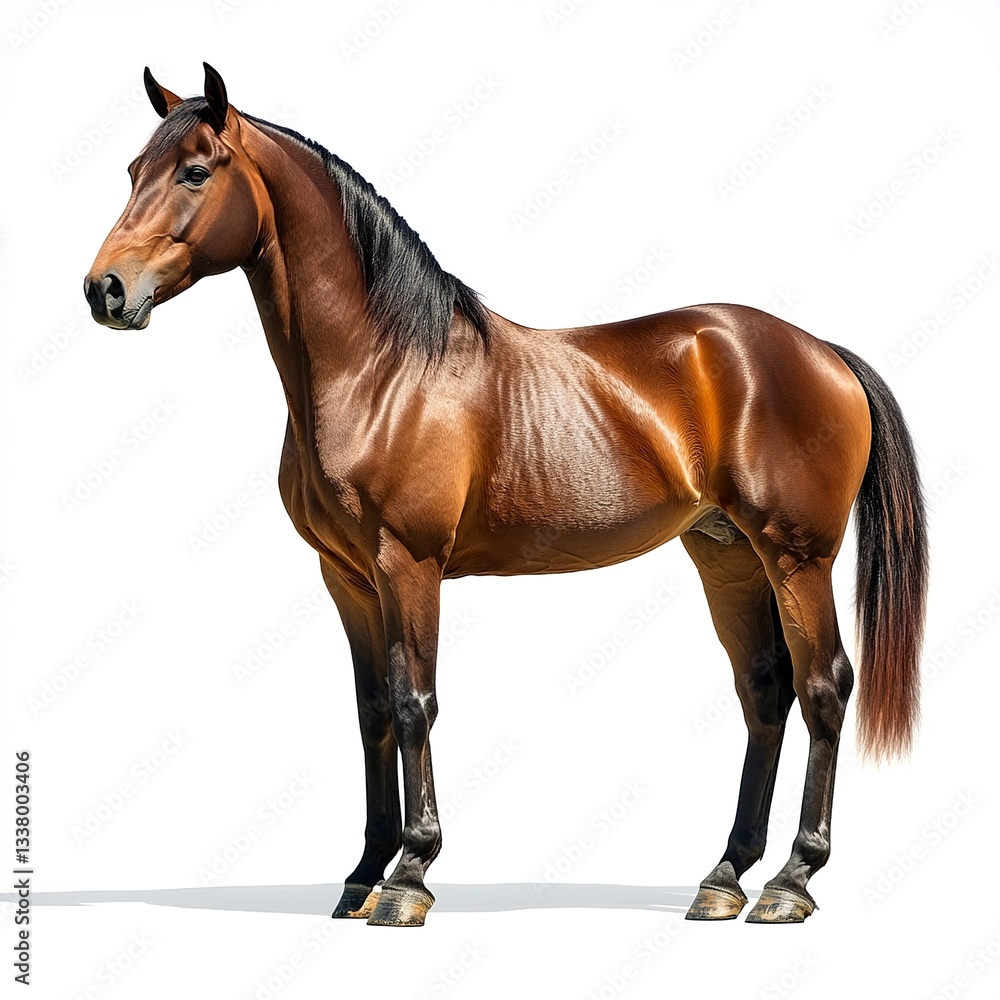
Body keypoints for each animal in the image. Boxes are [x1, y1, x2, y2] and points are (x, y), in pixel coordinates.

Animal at [84, 64, 928, 927]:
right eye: (133, 170)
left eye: (194, 172)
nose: (105, 290)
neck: (382, 368)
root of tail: (822, 351)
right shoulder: (347, 576)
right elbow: (372, 711)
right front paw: (363, 873)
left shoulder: (409, 563)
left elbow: (414, 701)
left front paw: (409, 878)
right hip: (726, 553)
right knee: (764, 688)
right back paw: (725, 877)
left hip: (797, 557)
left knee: (824, 686)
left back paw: (793, 880)